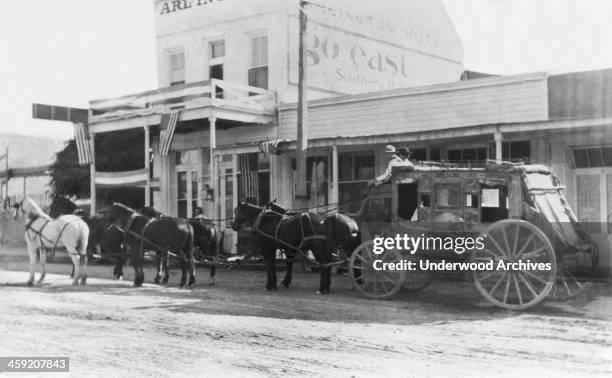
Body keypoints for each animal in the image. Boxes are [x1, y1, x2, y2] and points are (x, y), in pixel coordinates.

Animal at [232, 202, 360, 294]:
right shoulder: (276, 249)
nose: (233, 226)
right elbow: (275, 266)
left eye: (237, 211)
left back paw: (322, 289)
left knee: (324, 265)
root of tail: (324, 220)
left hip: (318, 248)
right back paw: (327, 287)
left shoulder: (267, 249)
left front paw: (269, 285)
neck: (264, 220)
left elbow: (269, 266)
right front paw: (276, 284)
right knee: (328, 264)